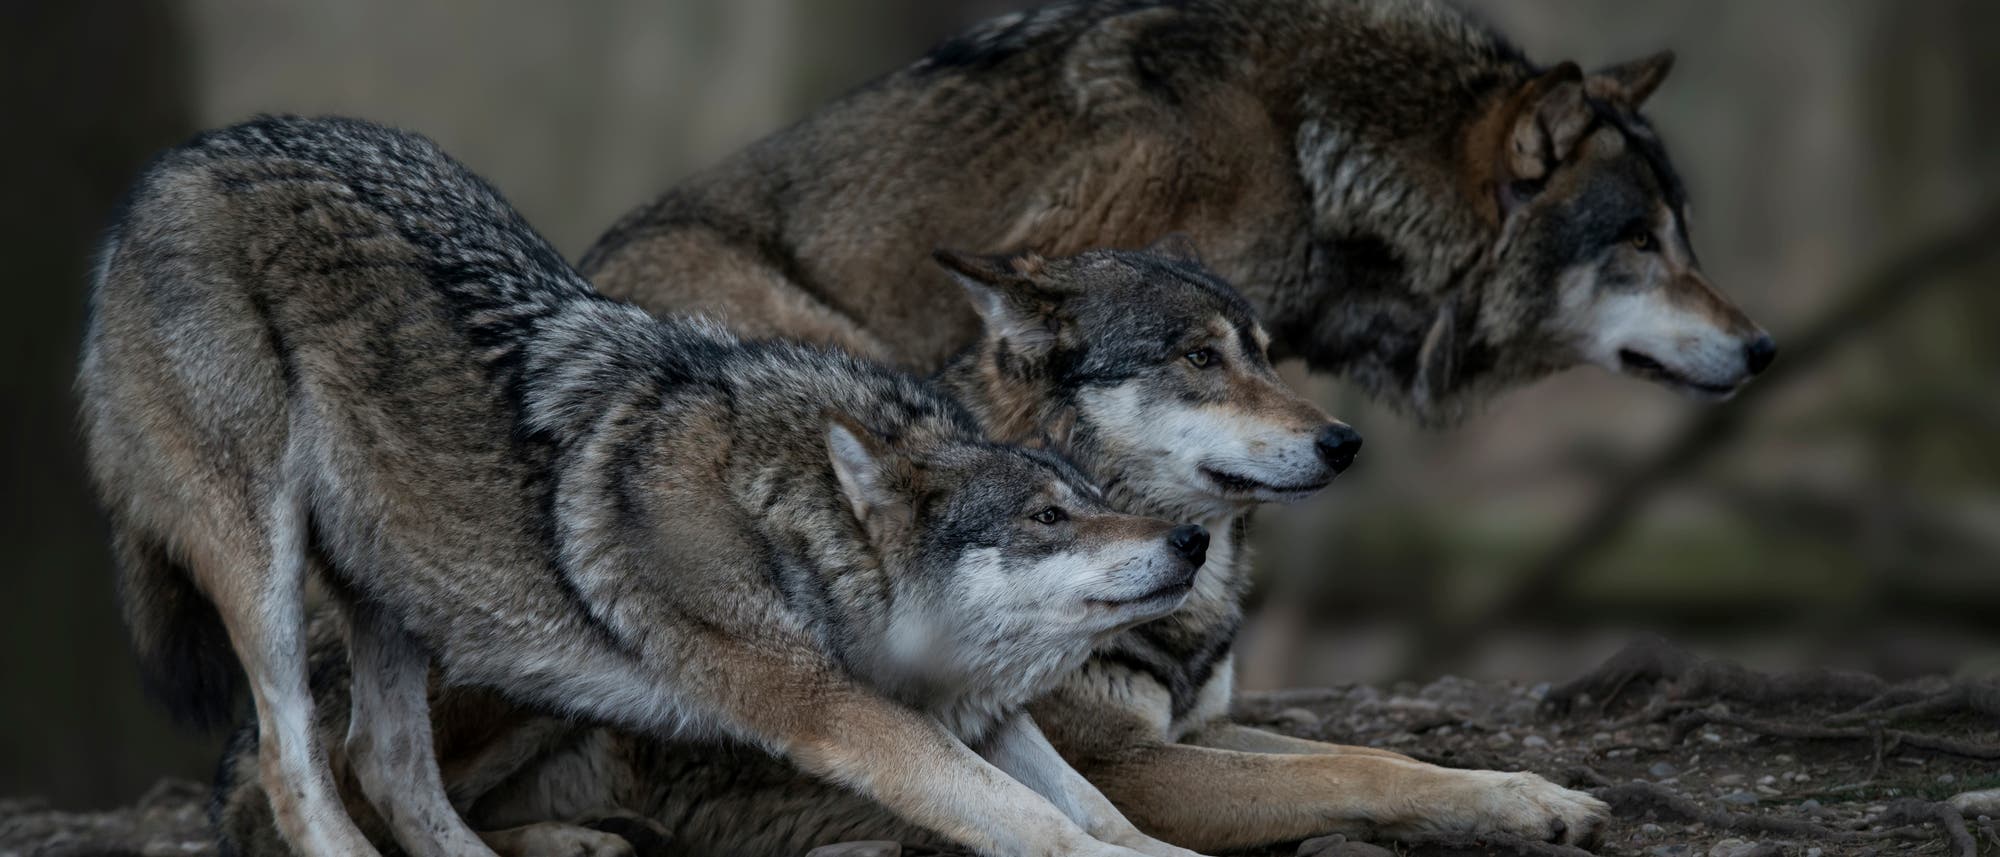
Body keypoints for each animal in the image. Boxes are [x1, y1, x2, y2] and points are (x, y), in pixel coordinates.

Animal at [79, 115, 1215, 857]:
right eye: (1047, 516)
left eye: (1087, 497)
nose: (1192, 542)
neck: (784, 518)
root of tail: (178, 162)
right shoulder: (826, 707)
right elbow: (1031, 817)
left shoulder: (962, 705)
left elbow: (1093, 805)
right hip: (266, 567)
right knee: (299, 766)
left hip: (409, 590)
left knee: (387, 764)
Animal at [216, 241, 1606, 856]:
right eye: (1195, 358)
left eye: (1262, 349)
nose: (1341, 441)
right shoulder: (1137, 764)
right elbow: (1336, 771)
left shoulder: (1180, 732)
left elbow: (1383, 752)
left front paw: (1526, 797)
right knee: (318, 791)